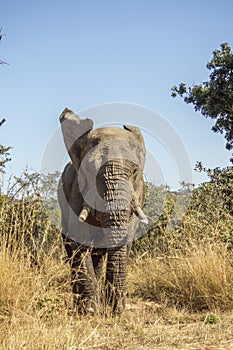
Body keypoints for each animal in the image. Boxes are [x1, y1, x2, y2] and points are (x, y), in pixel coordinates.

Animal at [57, 108, 147, 316]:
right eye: (89, 170)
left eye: (135, 171)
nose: (115, 312)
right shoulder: (76, 194)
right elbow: (79, 243)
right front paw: (92, 312)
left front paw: (115, 310)